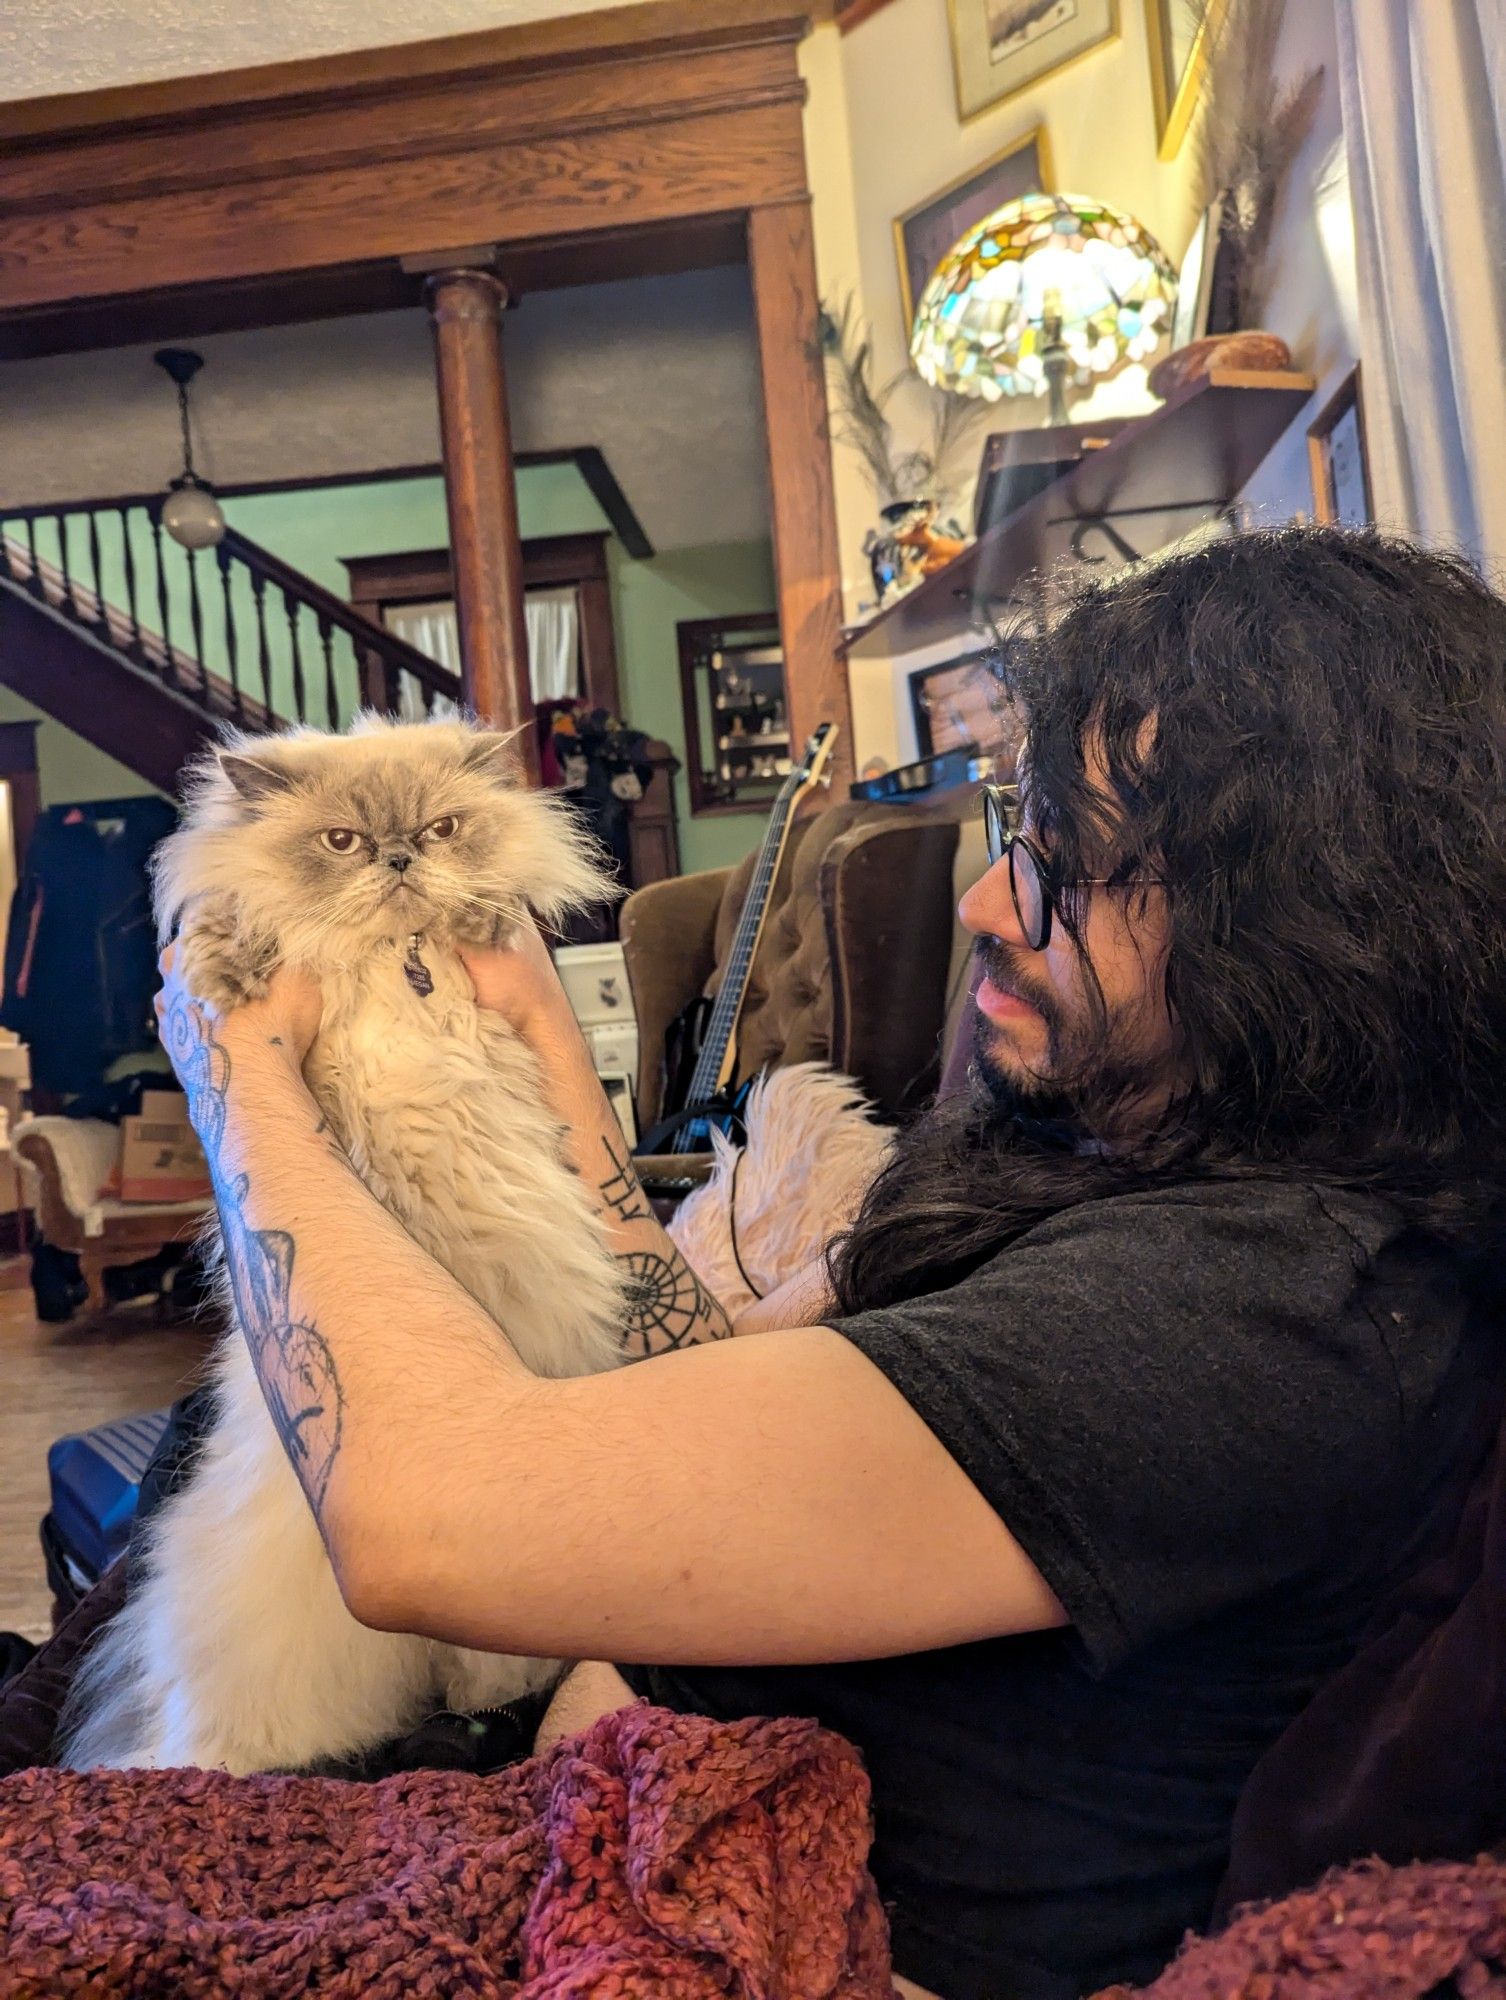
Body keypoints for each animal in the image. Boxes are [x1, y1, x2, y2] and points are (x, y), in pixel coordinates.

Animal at [58, 712, 624, 1776]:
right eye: (342, 843)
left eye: (442, 829)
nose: (401, 858)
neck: (387, 964)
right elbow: (239, 929)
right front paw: (234, 968)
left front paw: (481, 915)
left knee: (476, 1675)